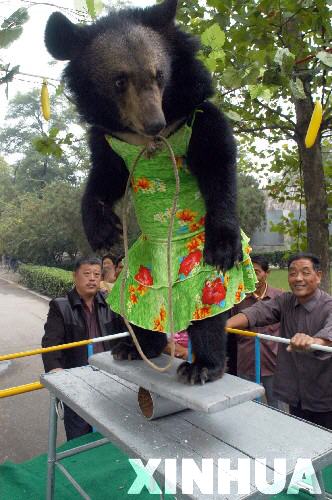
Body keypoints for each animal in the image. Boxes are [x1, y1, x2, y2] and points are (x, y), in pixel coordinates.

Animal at [45, 0, 255, 384]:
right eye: (119, 80)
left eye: (160, 75)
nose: (155, 123)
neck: (143, 139)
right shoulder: (108, 140)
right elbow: (104, 178)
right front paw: (104, 230)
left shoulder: (196, 116)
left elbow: (217, 161)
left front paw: (222, 241)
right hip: (137, 276)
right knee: (141, 305)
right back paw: (136, 346)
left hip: (201, 276)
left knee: (207, 309)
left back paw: (203, 366)